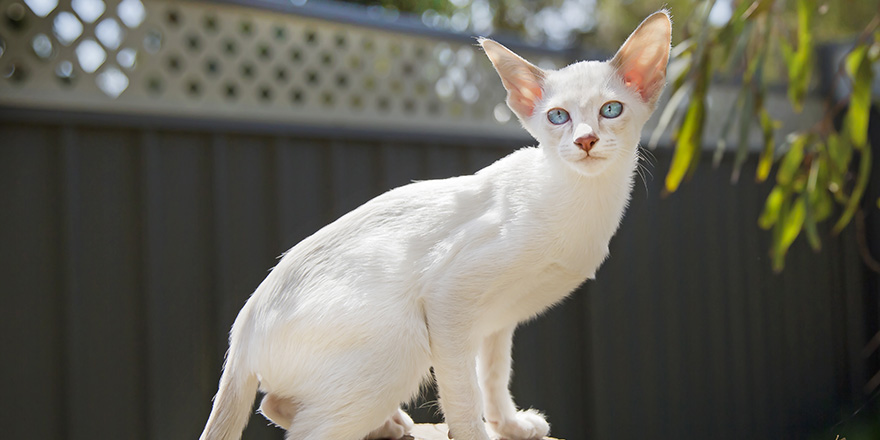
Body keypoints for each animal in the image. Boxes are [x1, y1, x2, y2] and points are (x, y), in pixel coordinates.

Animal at [198, 12, 668, 440]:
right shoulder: (450, 301)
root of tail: (241, 332)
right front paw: (479, 433)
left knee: (275, 403)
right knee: (303, 426)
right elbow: (463, 395)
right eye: (558, 117)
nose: (585, 140)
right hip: (404, 341)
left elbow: (493, 374)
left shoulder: (497, 320)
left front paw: (510, 426)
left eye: (611, 110)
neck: (585, 201)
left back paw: (388, 425)